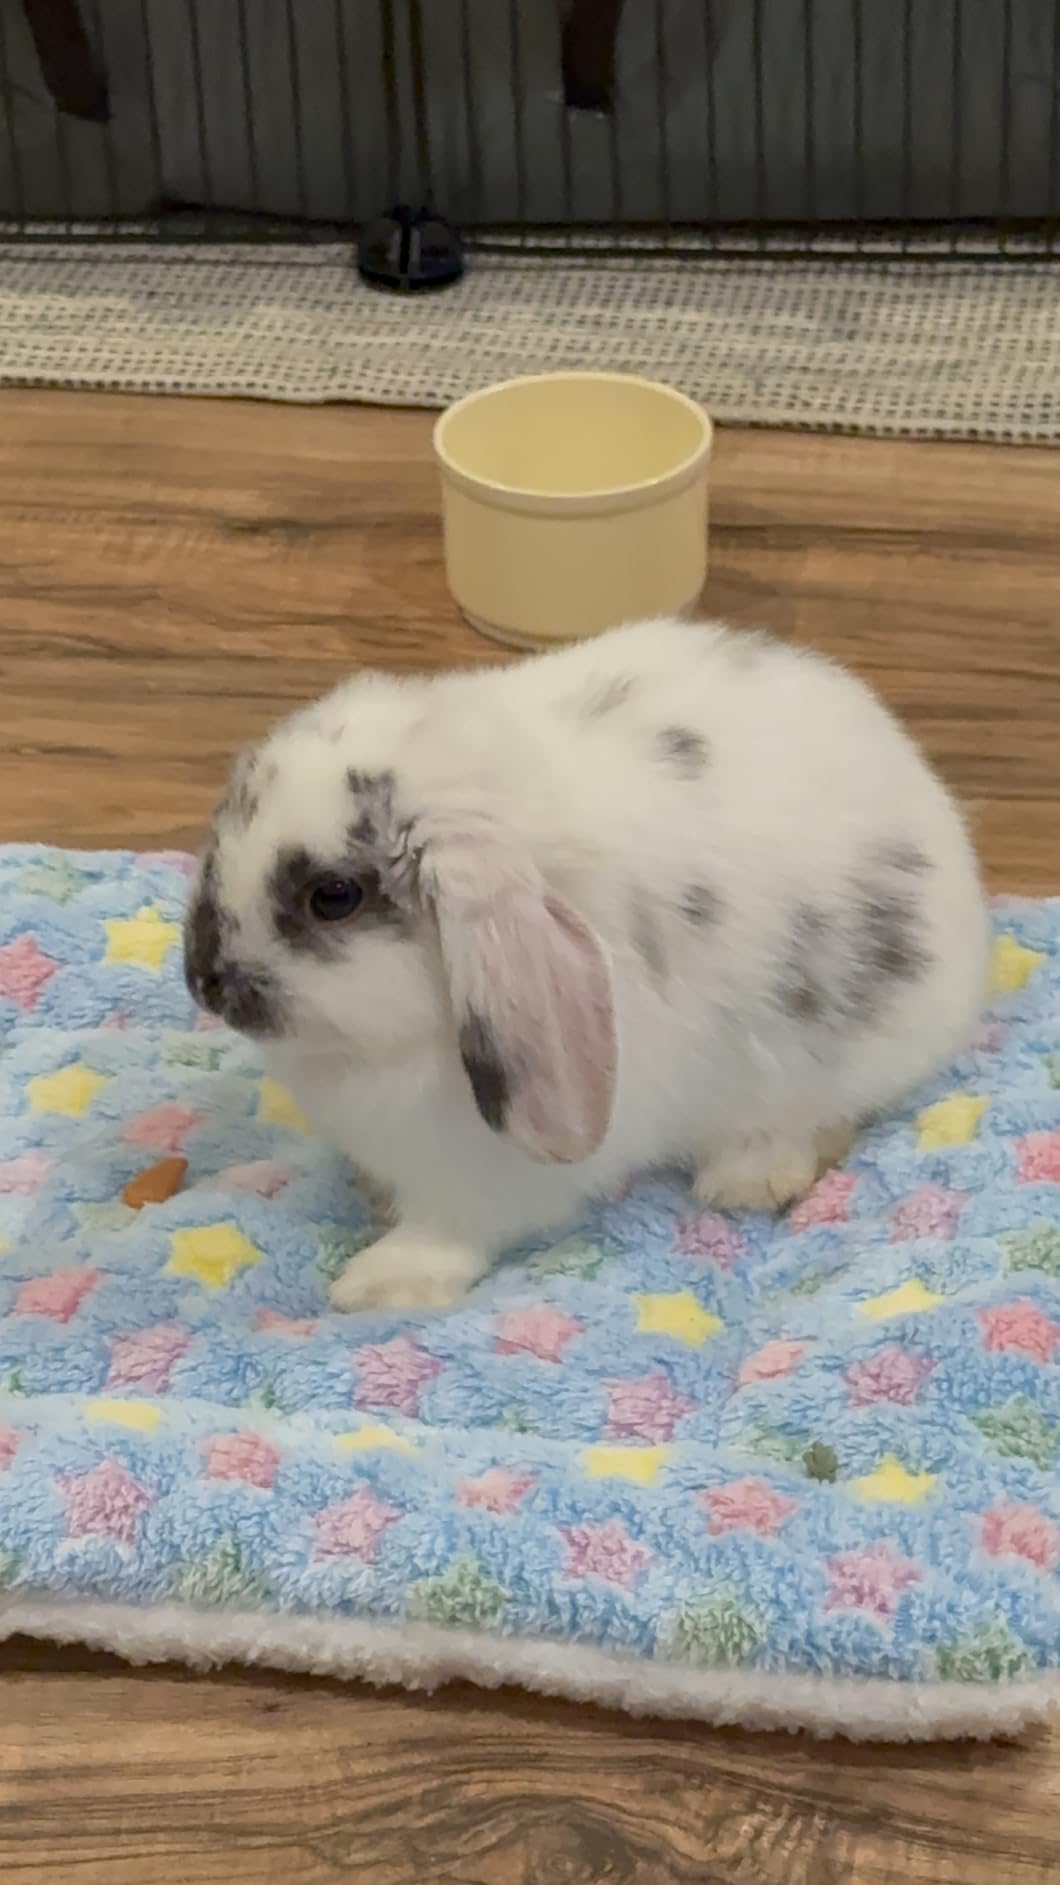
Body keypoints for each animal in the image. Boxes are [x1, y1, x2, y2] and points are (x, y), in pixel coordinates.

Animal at [184, 618, 990, 1313]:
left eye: (333, 897)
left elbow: (448, 1230)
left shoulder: (477, 1180)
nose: (204, 982)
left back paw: (749, 1178)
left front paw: (380, 1282)